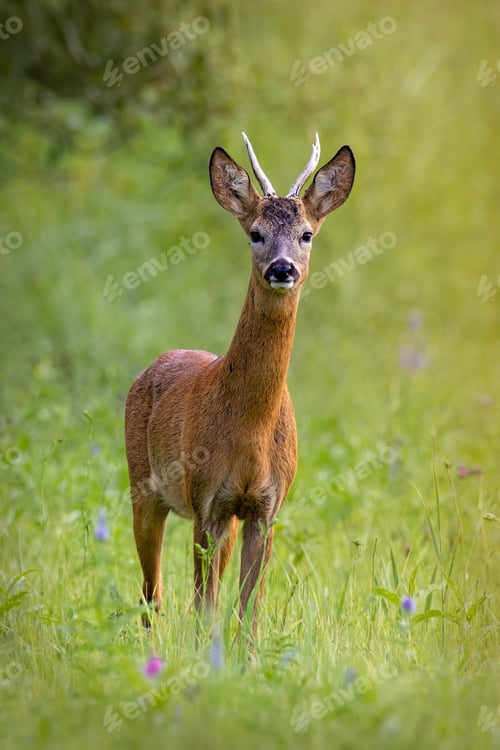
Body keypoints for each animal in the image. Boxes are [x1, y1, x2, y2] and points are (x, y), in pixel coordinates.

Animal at [124, 132, 355, 637]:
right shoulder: (206, 500)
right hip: (143, 486)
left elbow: (249, 609)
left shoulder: (264, 509)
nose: (282, 268)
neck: (250, 431)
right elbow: (205, 606)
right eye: (255, 233)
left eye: (307, 233)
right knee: (153, 593)